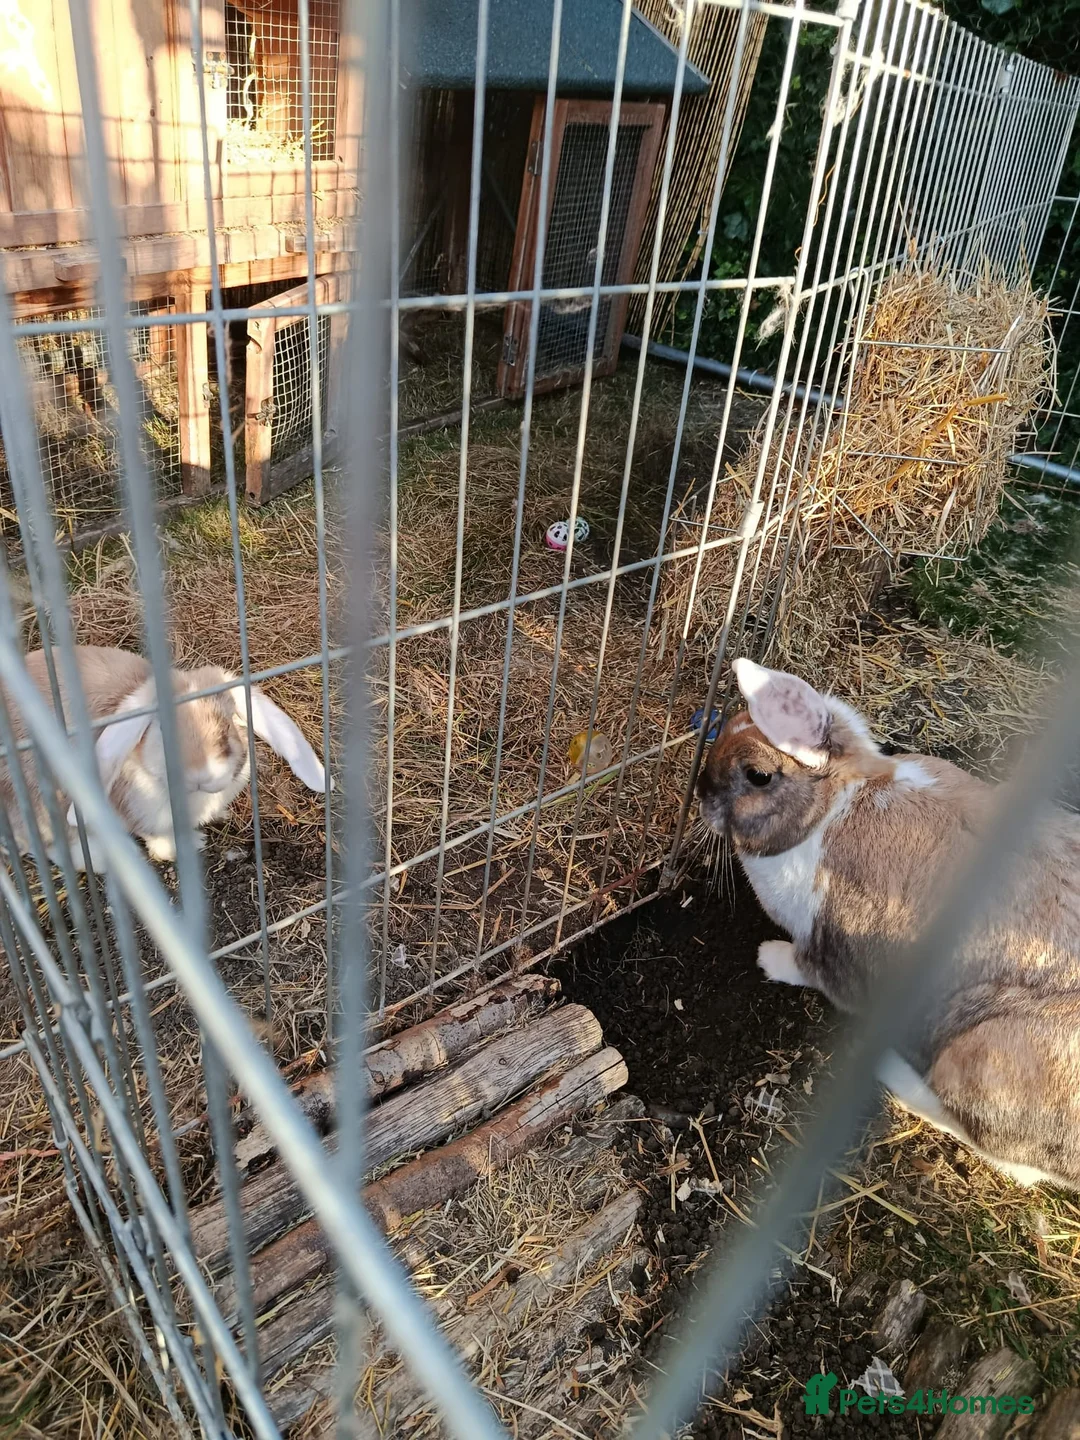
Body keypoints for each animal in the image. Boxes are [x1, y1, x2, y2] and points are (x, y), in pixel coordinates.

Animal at [696, 656, 1080, 1190]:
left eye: (758, 775)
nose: (699, 793)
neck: (831, 808)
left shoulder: (833, 947)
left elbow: (807, 967)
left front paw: (767, 958)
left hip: (981, 1057)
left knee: (1004, 1154)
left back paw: (888, 1068)